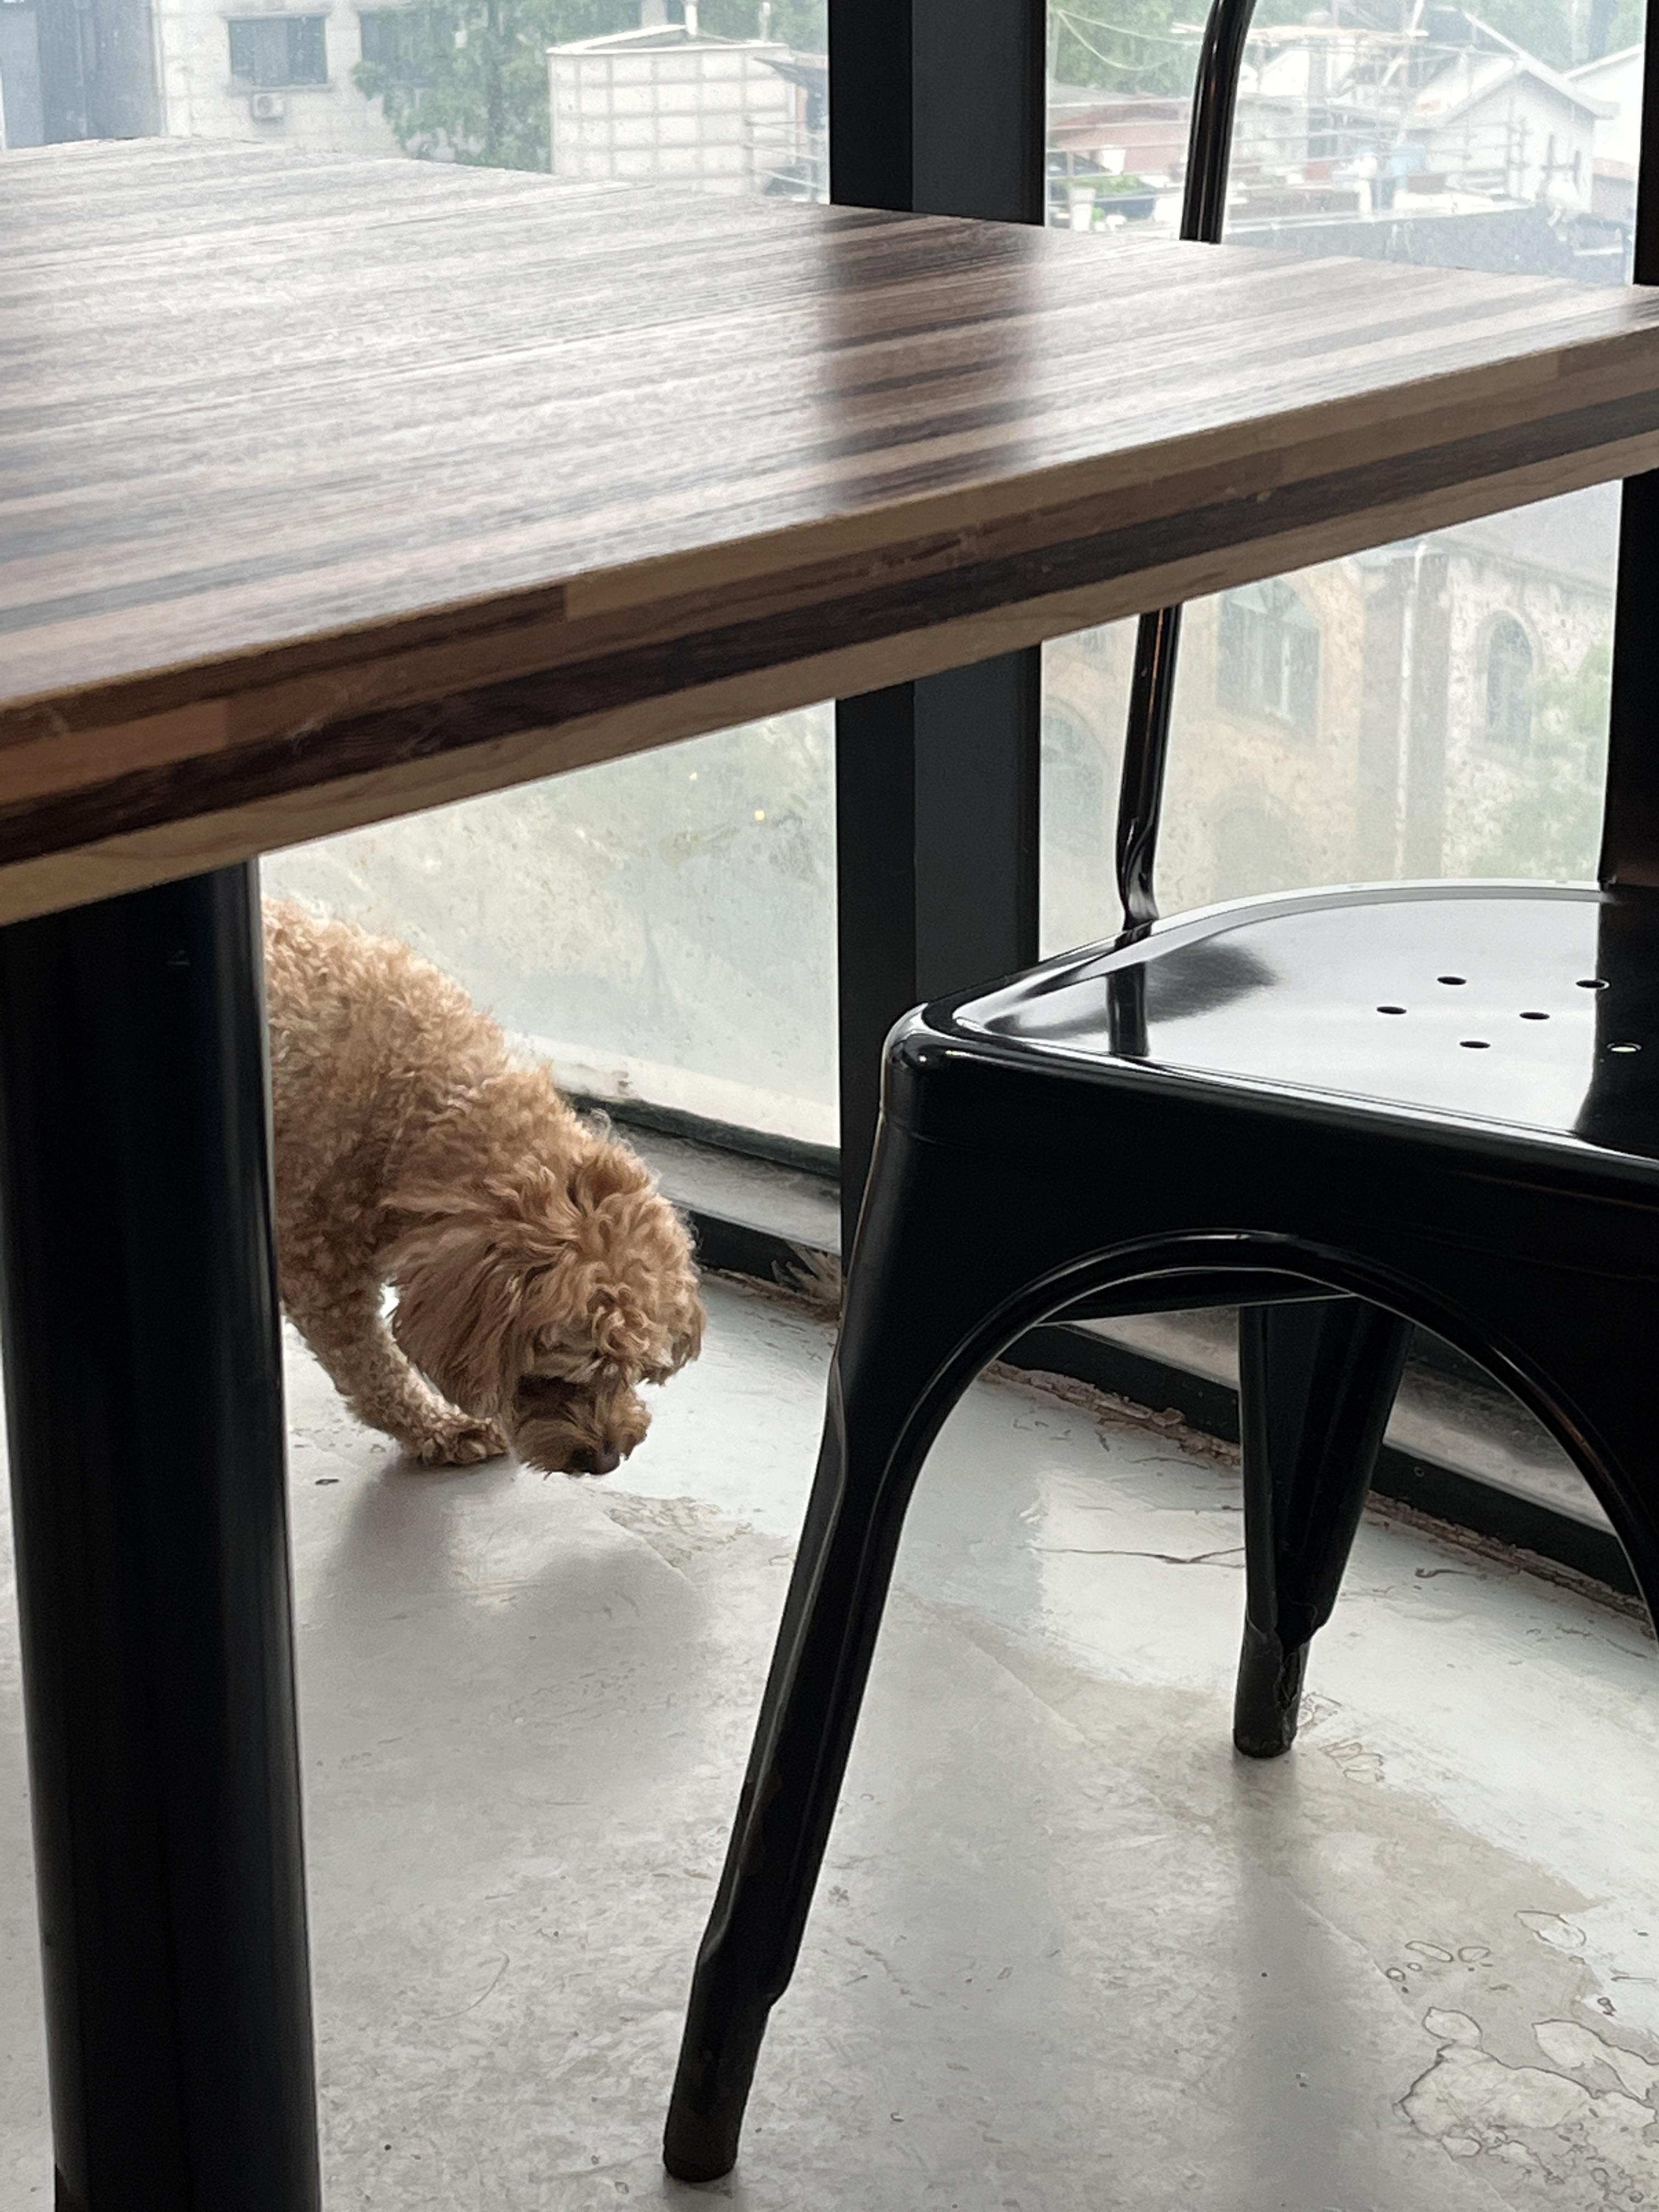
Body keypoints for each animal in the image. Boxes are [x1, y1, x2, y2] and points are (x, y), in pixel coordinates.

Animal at [264, 899, 703, 1474]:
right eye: (554, 1376)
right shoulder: (318, 1266)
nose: (607, 1460)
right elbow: (372, 1367)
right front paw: (440, 1427)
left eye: (634, 1371)